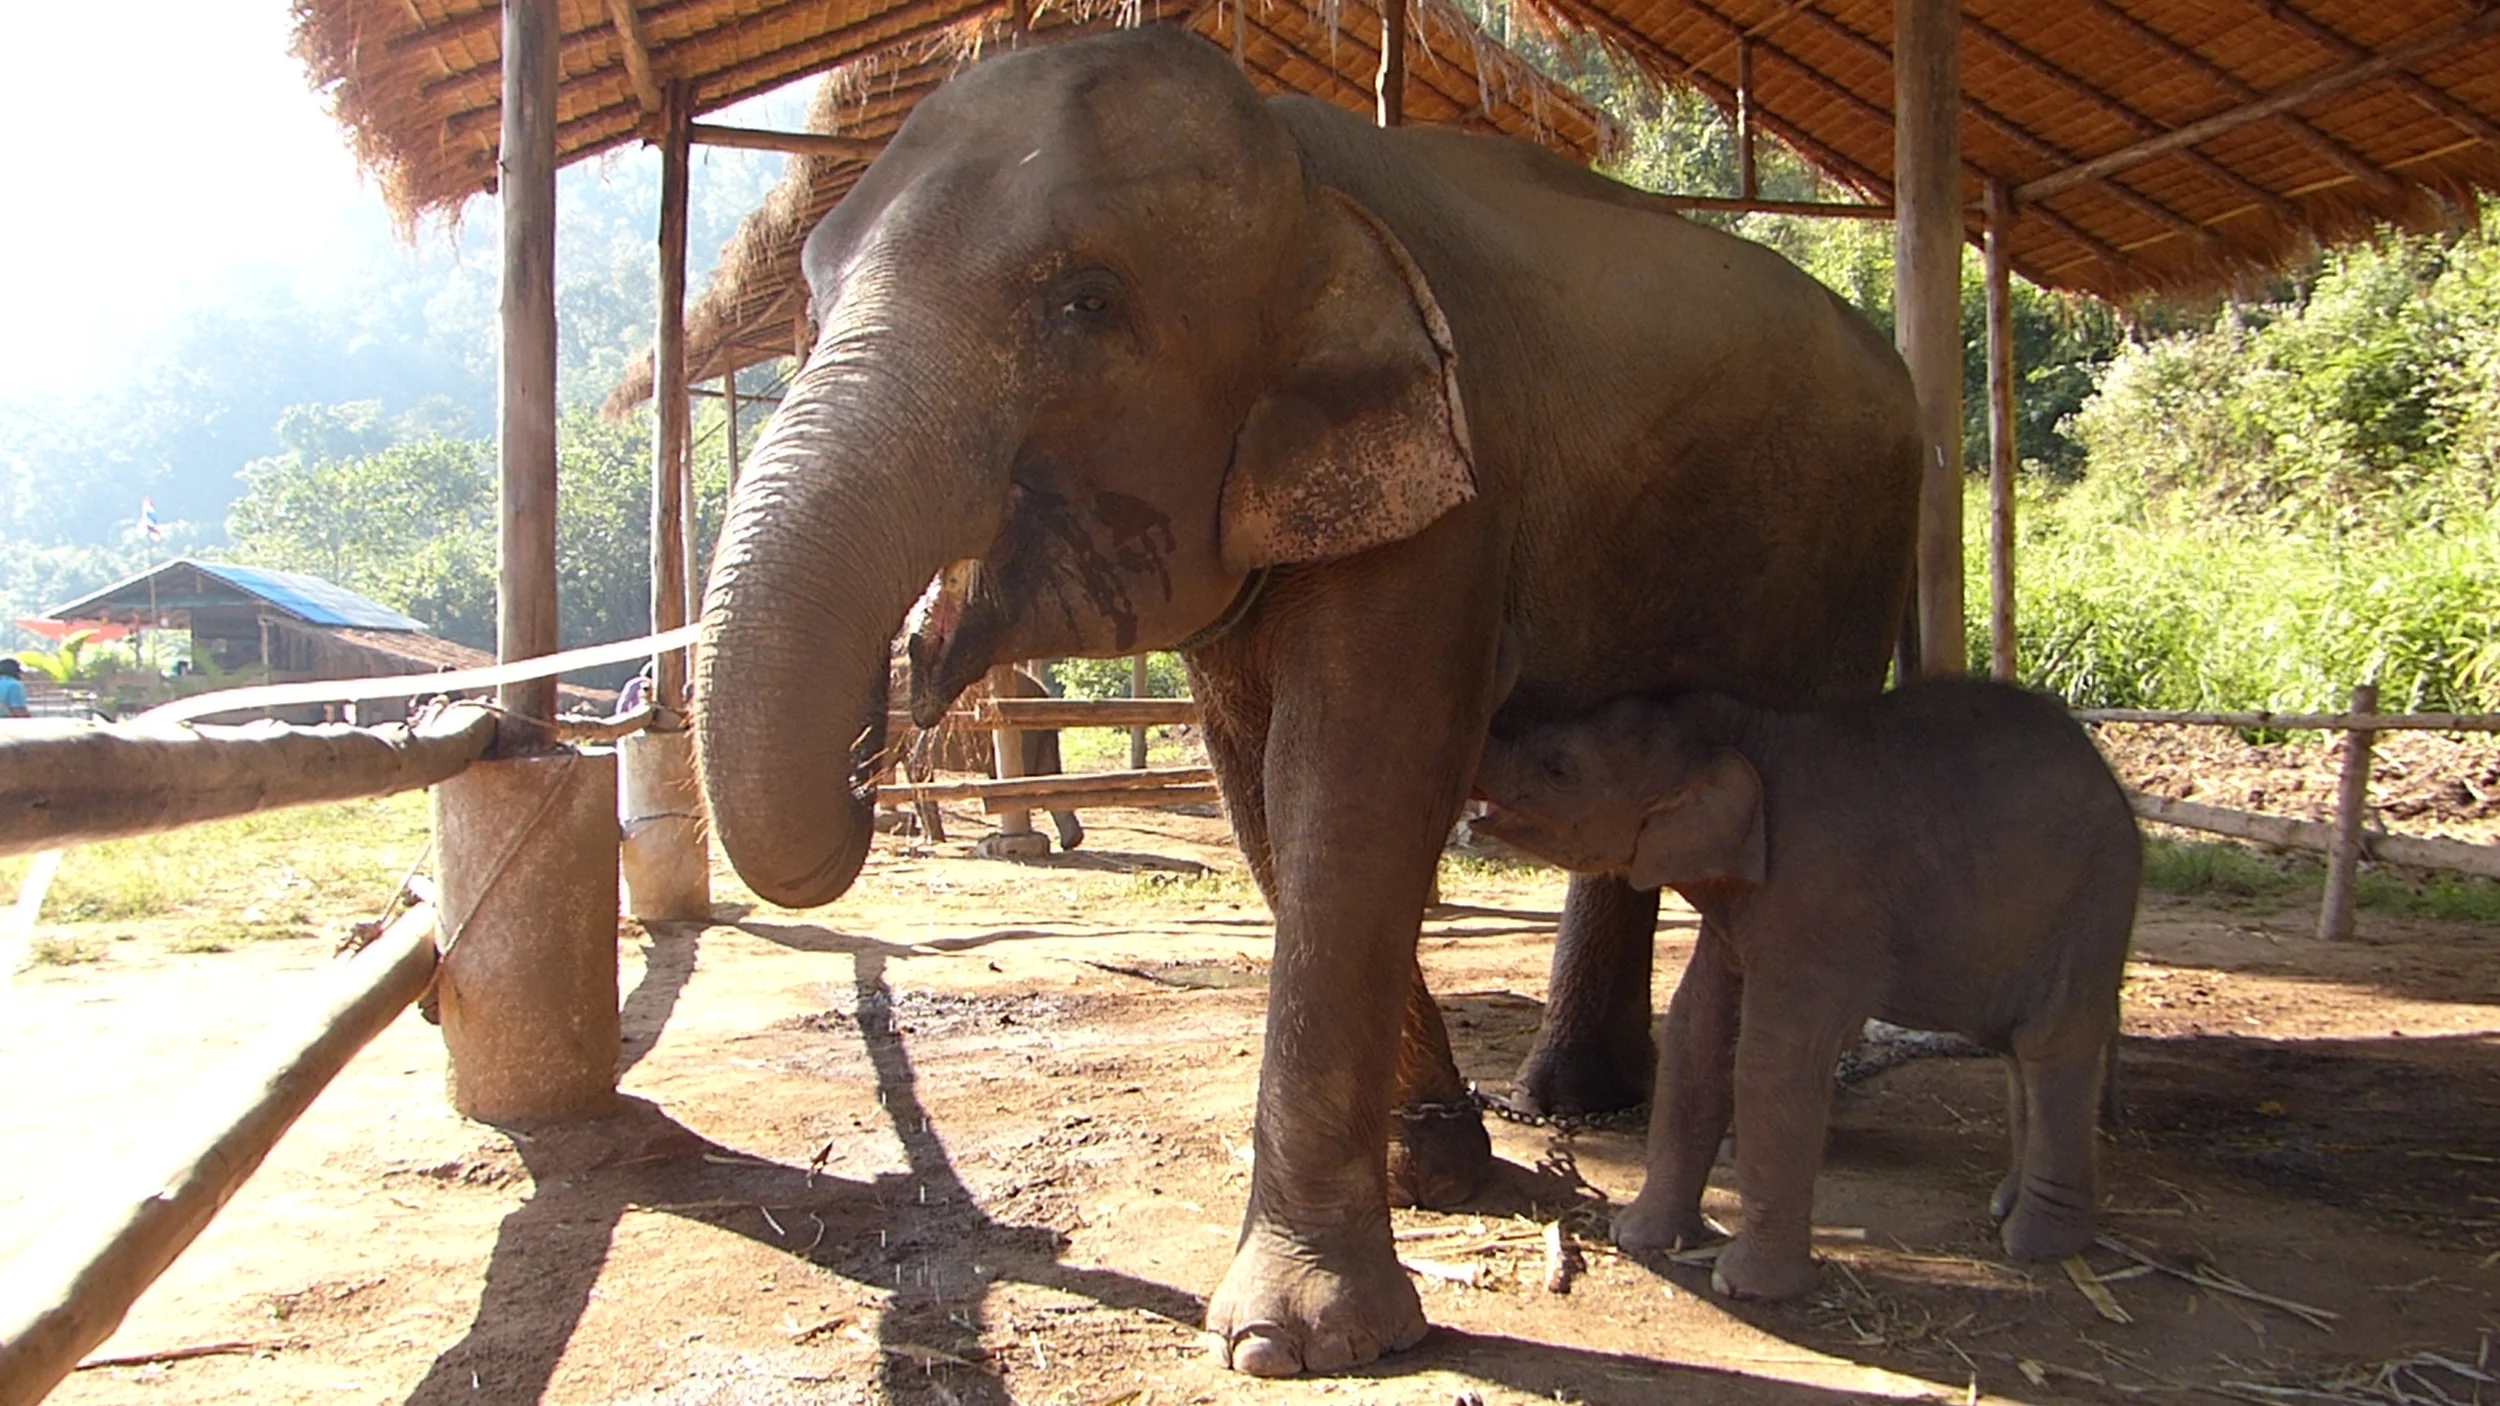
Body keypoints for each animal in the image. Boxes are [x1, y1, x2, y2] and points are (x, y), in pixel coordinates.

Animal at [693, 29, 1919, 1376]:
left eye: (1084, 304)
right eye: (808, 304)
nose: (900, 687)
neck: (1303, 169)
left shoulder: (1454, 488)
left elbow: (1354, 779)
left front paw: (1291, 1337)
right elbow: (1258, 792)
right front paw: (1436, 1169)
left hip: (1855, 551)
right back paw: (1573, 1103)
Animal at [1470, 681, 2142, 1300]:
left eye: (1559, 768)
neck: (1741, 732)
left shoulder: (1819, 891)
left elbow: (1775, 1056)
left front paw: (1742, 1286)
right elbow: (1696, 1030)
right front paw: (1638, 1238)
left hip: (2092, 897)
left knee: (2051, 1040)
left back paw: (2038, 1243)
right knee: (2016, 1046)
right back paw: (2007, 1204)